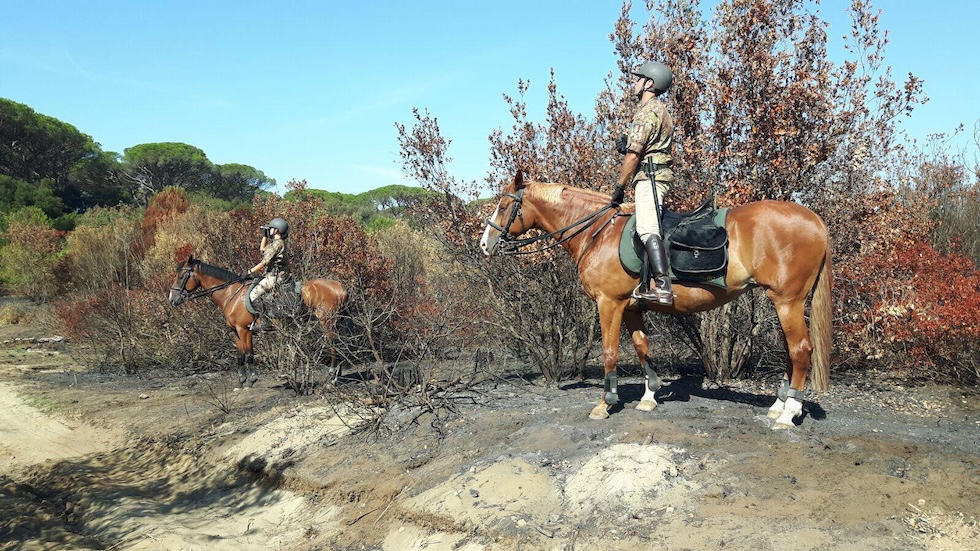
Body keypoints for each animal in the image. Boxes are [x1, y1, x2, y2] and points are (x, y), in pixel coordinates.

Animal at [168, 254, 348, 388]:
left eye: (182, 276)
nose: (172, 299)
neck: (231, 294)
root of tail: (338, 287)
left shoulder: (245, 330)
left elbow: (248, 355)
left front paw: (252, 379)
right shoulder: (235, 332)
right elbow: (240, 356)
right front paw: (241, 381)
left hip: (327, 322)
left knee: (333, 345)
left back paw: (332, 377)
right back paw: (337, 374)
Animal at [478, 170, 832, 430]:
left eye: (505, 205)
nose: (484, 243)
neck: (598, 231)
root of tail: (815, 220)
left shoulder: (609, 303)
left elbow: (609, 352)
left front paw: (605, 402)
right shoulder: (631, 306)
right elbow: (641, 346)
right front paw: (649, 395)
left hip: (787, 301)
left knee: (801, 350)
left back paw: (788, 413)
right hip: (785, 303)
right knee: (791, 352)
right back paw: (779, 405)